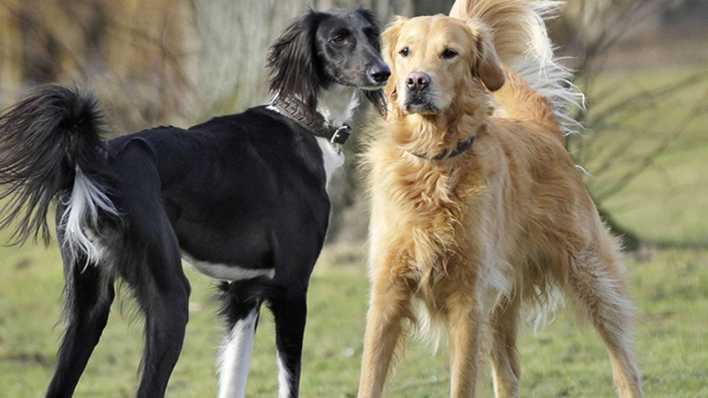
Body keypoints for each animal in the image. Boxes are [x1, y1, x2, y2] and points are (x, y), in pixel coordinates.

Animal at [0, 7, 388, 398]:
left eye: (371, 34)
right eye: (338, 38)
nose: (382, 72)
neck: (304, 124)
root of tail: (93, 162)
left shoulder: (243, 294)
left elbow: (233, 381)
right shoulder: (292, 287)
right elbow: (289, 383)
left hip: (88, 306)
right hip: (170, 297)